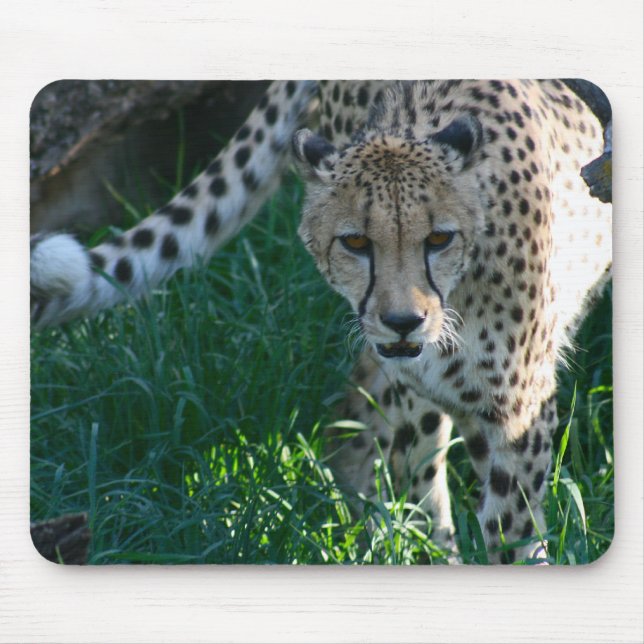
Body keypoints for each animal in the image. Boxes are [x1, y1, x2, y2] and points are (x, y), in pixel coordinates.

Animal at [30, 79, 612, 564]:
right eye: (355, 242)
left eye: (438, 238)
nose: (402, 321)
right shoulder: (420, 394)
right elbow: (426, 496)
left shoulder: (518, 411)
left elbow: (511, 532)